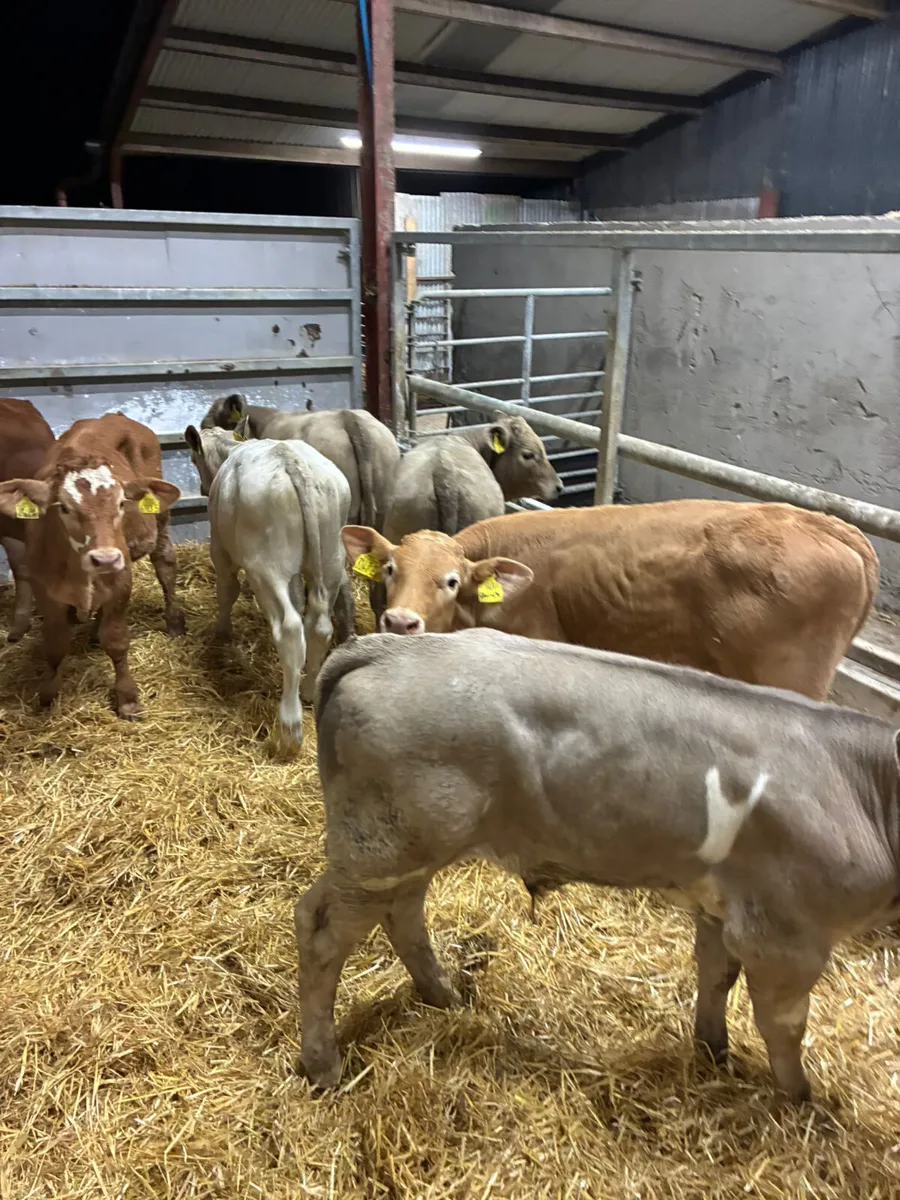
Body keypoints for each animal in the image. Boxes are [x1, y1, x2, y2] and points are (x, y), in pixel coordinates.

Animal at [0, 413, 183, 717]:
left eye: (121, 504)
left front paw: (127, 698)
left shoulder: (121, 581)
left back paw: (176, 620)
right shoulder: (44, 590)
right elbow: (55, 645)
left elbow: (117, 641)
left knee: (165, 562)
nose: (106, 558)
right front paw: (48, 694)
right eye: (63, 507)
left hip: (161, 517)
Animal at [186, 426, 355, 750]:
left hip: (266, 567)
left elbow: (226, 591)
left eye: (192, 458)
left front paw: (222, 635)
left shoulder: (220, 550)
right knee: (318, 625)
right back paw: (309, 689)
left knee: (290, 628)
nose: (201, 487)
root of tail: (291, 461)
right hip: (330, 558)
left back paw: (290, 728)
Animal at [297, 629, 900, 1099]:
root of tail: (386, 647)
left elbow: (716, 976)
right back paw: (322, 1064)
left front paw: (713, 1051)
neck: (866, 782)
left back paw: (444, 994)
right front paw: (802, 1100)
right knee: (321, 930)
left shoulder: (721, 904)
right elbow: (784, 1024)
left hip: (407, 847)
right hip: (379, 849)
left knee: (401, 913)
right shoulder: (788, 936)